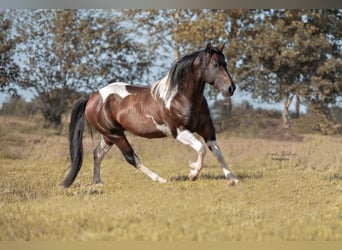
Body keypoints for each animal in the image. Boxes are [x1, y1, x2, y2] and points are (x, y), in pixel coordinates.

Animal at [61, 43, 239, 188]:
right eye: (215, 64)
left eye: (225, 63)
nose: (231, 88)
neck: (180, 97)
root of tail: (93, 97)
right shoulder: (179, 132)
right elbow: (201, 149)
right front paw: (193, 173)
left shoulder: (207, 130)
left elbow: (217, 152)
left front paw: (232, 179)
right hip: (116, 135)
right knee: (131, 157)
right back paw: (160, 179)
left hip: (108, 136)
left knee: (97, 154)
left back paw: (98, 182)